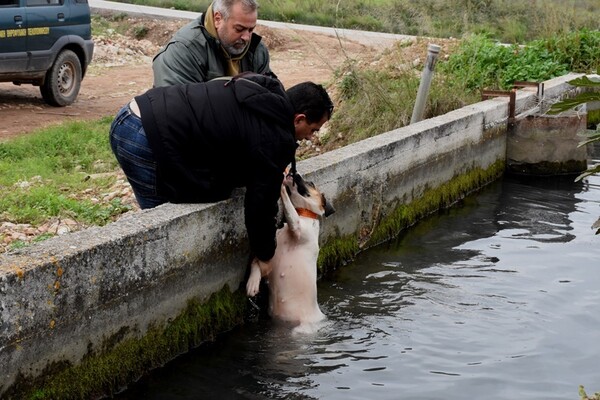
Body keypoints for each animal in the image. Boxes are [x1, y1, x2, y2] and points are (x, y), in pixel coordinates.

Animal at [246, 172, 336, 332]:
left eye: (311, 183)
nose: (295, 173)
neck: (303, 214)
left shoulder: (297, 227)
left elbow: (289, 208)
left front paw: (282, 186)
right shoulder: (269, 258)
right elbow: (255, 263)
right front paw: (253, 284)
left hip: (300, 329)